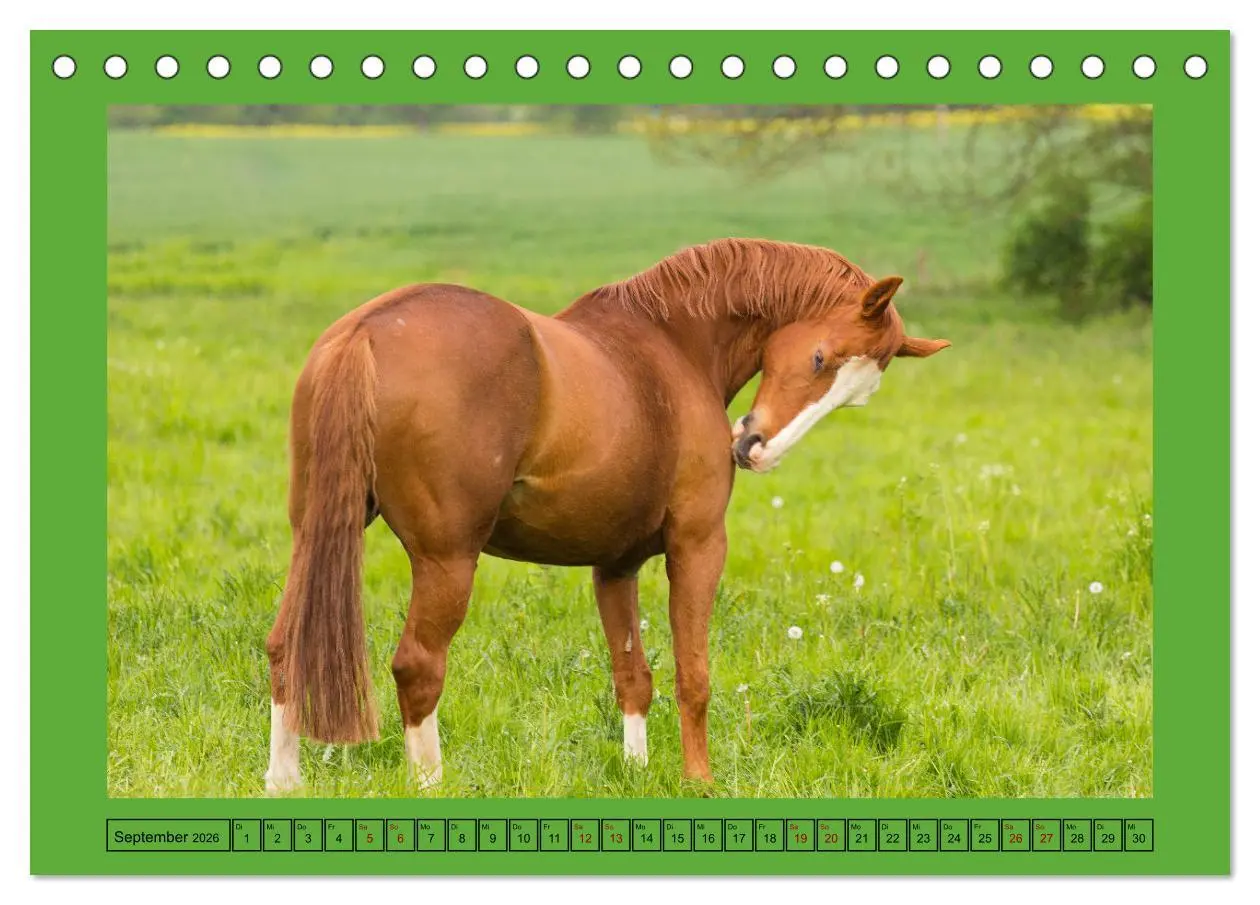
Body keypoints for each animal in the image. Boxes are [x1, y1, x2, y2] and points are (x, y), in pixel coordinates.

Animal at [264, 238, 949, 793]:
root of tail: (369, 328)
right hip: (447, 560)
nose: (758, 450)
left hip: (316, 533)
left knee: (284, 648)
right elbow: (693, 673)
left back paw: (283, 781)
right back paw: (429, 784)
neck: (671, 347)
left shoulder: (615, 566)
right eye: (819, 358)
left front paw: (636, 771)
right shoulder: (698, 546)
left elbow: (633, 673)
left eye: (856, 396)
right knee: (418, 666)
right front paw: (698, 781)